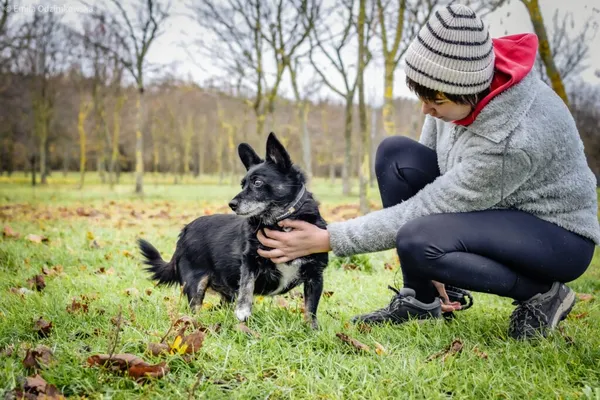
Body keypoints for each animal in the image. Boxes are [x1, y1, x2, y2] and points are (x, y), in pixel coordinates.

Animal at [138, 134, 328, 328]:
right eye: (242, 184)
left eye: (257, 182)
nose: (232, 204)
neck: (278, 223)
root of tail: (184, 230)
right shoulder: (249, 261)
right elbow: (247, 285)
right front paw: (243, 310)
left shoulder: (316, 275)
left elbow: (310, 309)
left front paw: (312, 330)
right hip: (195, 283)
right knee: (195, 308)